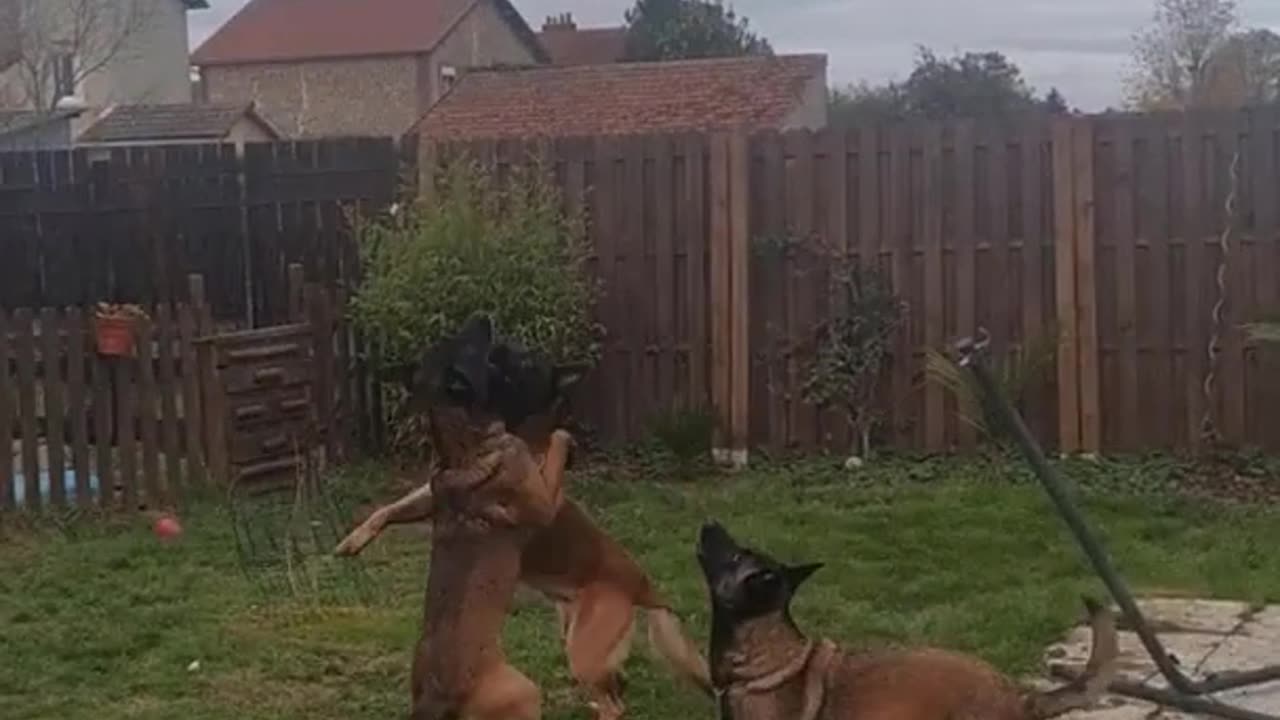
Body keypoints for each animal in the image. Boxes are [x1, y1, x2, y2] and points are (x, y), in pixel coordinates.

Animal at [337, 330, 711, 717]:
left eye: (528, 364)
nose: (500, 347)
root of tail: (643, 585)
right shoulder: (439, 493)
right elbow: (390, 508)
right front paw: (353, 540)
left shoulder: (542, 497)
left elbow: (556, 441)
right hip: (575, 634)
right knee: (616, 686)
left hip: (584, 650)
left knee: (613, 701)